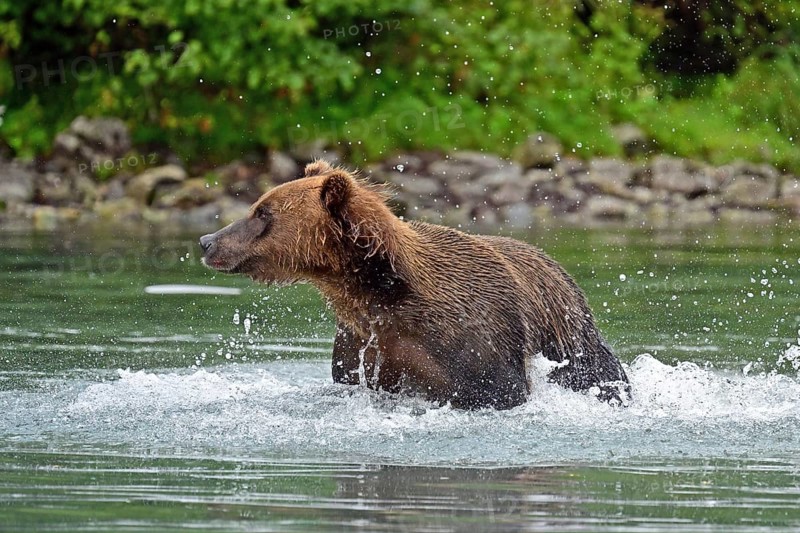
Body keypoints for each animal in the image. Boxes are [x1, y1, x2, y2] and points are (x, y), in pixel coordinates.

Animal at [200, 160, 630, 409]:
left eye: (262, 212)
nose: (207, 241)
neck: (378, 291)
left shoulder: (475, 337)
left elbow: (499, 388)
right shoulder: (363, 342)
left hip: (571, 339)